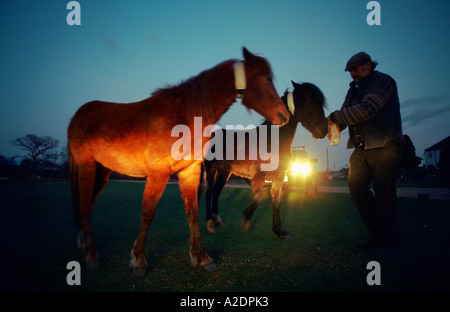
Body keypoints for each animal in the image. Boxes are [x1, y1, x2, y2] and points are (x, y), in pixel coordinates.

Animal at [68, 47, 290, 274]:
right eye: (267, 78)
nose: (284, 115)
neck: (183, 115)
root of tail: (78, 115)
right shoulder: (158, 174)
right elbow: (147, 213)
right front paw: (139, 259)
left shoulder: (189, 171)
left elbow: (192, 212)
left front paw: (202, 257)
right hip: (87, 167)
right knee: (84, 205)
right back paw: (91, 254)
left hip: (101, 172)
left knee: (87, 204)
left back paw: (84, 243)